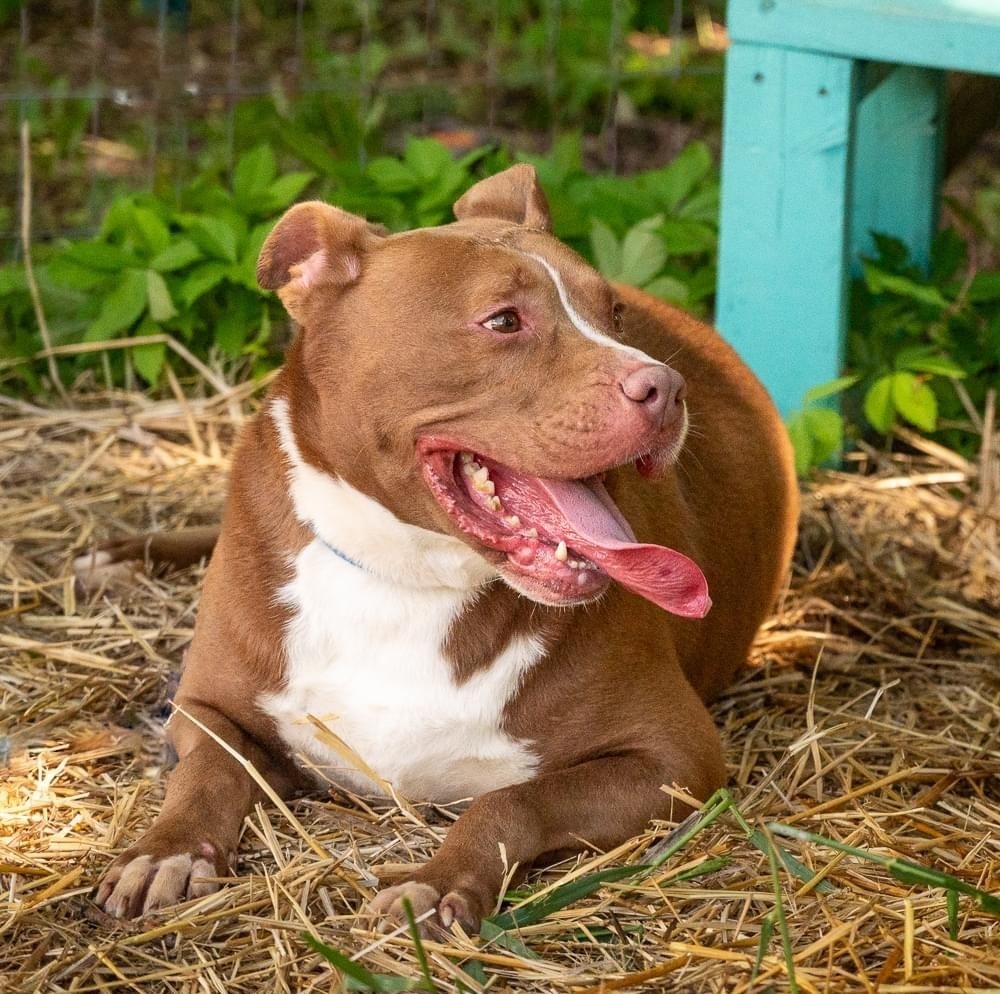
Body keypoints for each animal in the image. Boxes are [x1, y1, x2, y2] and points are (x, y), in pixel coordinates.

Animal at [90, 165, 800, 928]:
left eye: (613, 315)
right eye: (503, 321)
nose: (666, 385)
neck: (404, 575)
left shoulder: (675, 758)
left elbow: (512, 799)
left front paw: (436, 880)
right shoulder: (207, 709)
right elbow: (206, 772)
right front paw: (168, 849)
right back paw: (122, 556)